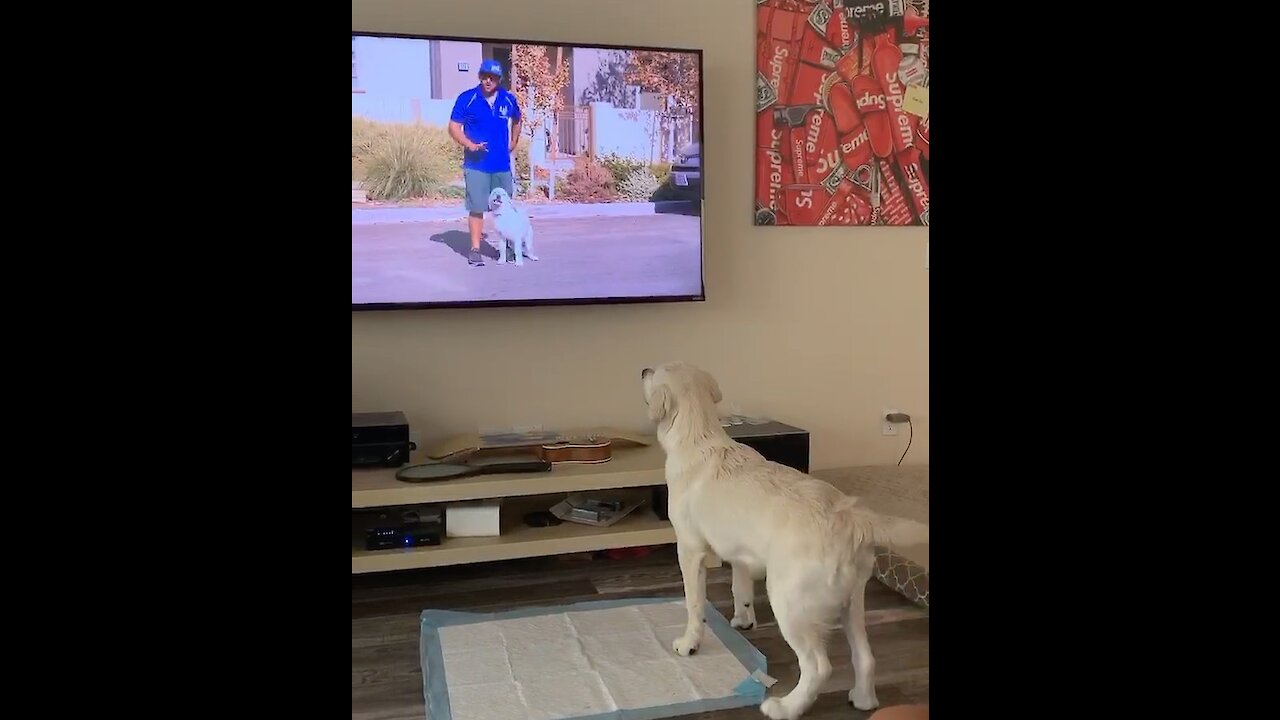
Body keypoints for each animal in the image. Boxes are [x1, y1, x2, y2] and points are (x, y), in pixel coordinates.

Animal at [640, 361, 931, 712]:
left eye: (655, 371)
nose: (643, 369)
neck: (699, 435)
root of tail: (850, 515)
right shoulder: (741, 553)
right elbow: (739, 587)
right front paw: (743, 619)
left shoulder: (690, 549)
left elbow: (694, 604)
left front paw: (689, 643)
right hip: (852, 601)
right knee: (865, 657)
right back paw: (863, 699)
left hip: (789, 602)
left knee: (818, 667)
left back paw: (786, 708)